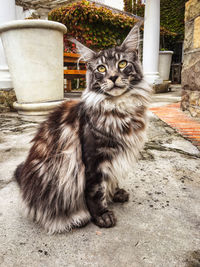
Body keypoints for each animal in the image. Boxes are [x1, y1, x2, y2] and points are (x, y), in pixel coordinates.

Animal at [14, 22, 152, 233]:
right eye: (101, 68)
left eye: (122, 64)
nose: (113, 77)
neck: (119, 108)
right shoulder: (94, 159)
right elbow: (96, 191)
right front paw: (102, 215)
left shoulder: (115, 157)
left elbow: (112, 178)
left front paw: (115, 193)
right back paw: (77, 218)